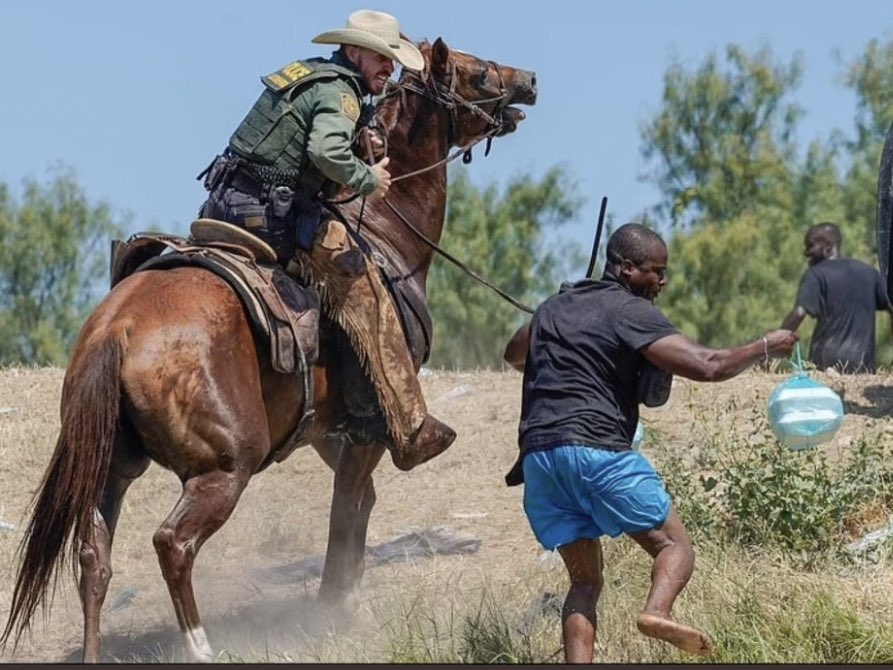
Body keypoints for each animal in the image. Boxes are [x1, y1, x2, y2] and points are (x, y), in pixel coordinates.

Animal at [0, 38, 532, 668]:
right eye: (477, 73)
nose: (528, 81)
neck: (383, 234)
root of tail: (117, 329)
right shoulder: (369, 430)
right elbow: (346, 512)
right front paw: (334, 610)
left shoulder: (328, 431)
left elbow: (359, 504)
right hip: (225, 468)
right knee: (173, 543)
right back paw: (201, 646)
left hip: (113, 466)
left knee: (93, 557)